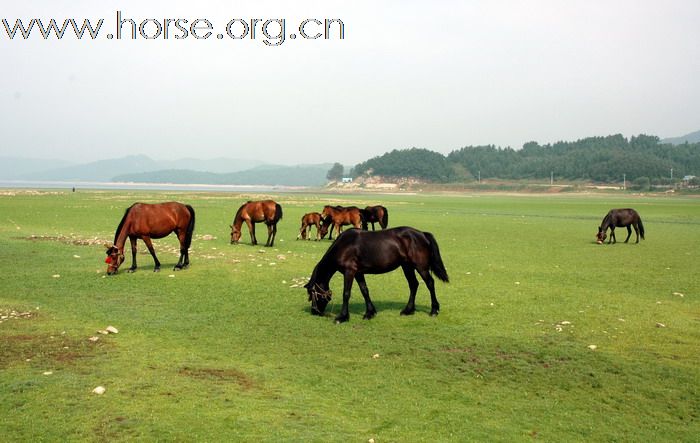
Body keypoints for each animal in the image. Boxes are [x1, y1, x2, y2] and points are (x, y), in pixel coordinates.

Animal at [304, 227, 448, 324]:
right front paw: (370, 313)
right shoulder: (358, 273)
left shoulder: (349, 272)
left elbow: (346, 293)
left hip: (420, 267)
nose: (314, 312)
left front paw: (342, 317)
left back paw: (434, 310)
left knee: (430, 283)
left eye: (312, 293)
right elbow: (364, 291)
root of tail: (422, 234)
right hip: (407, 266)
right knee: (413, 284)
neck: (344, 246)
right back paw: (408, 310)